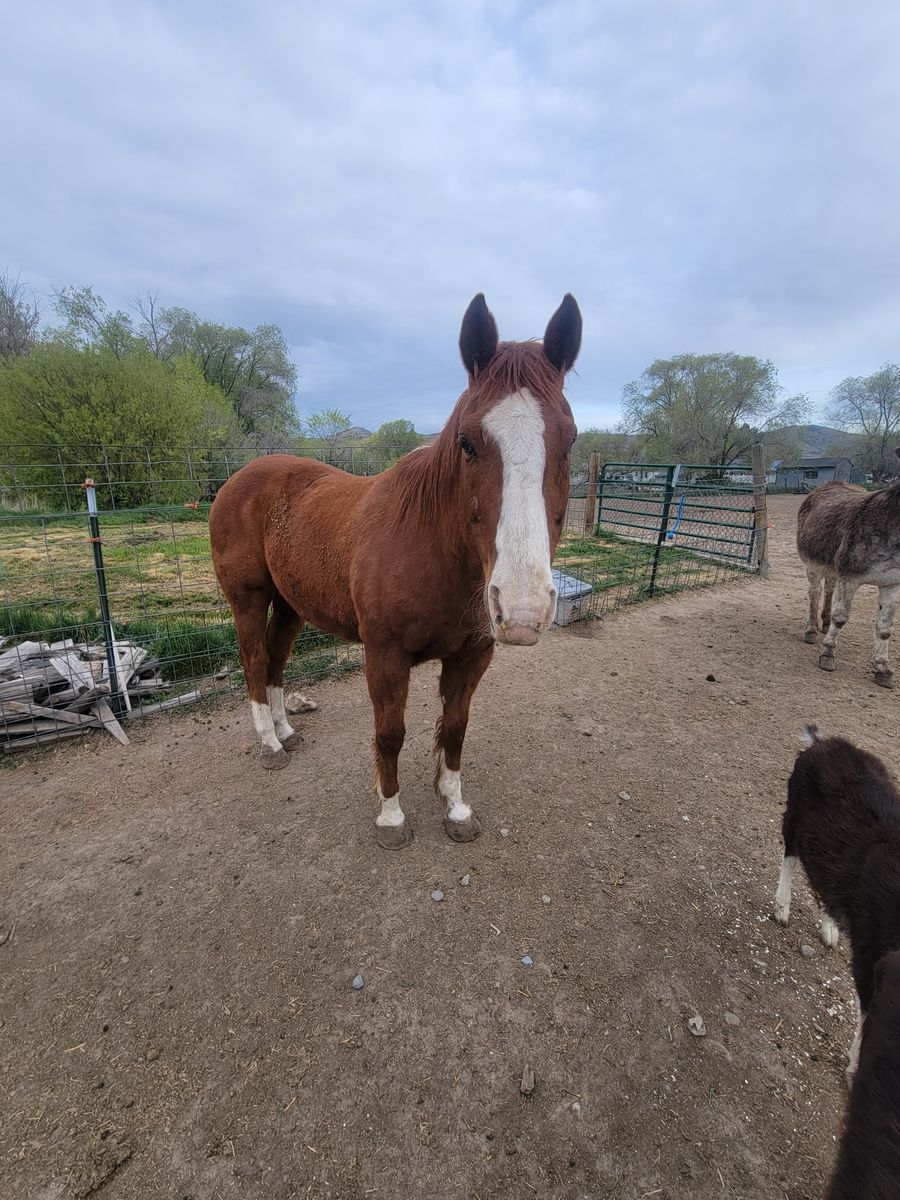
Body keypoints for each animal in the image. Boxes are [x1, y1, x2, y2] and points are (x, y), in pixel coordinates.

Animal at [209, 293, 581, 847]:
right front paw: (391, 817)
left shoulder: (472, 656)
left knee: (275, 660)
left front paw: (455, 808)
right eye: (467, 442)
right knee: (255, 662)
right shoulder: (384, 656)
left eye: (570, 441)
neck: (433, 549)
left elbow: (455, 729)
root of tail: (240, 477)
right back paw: (269, 745)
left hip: (292, 604)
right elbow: (390, 733)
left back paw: (285, 732)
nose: (521, 609)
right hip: (249, 598)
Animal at [797, 453, 900, 688]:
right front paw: (827, 655)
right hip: (814, 564)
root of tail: (831, 483)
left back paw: (824, 624)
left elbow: (885, 628)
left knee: (828, 590)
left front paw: (883, 669)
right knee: (814, 593)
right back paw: (811, 630)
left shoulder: (892, 582)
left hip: (832, 566)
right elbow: (841, 616)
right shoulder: (850, 576)